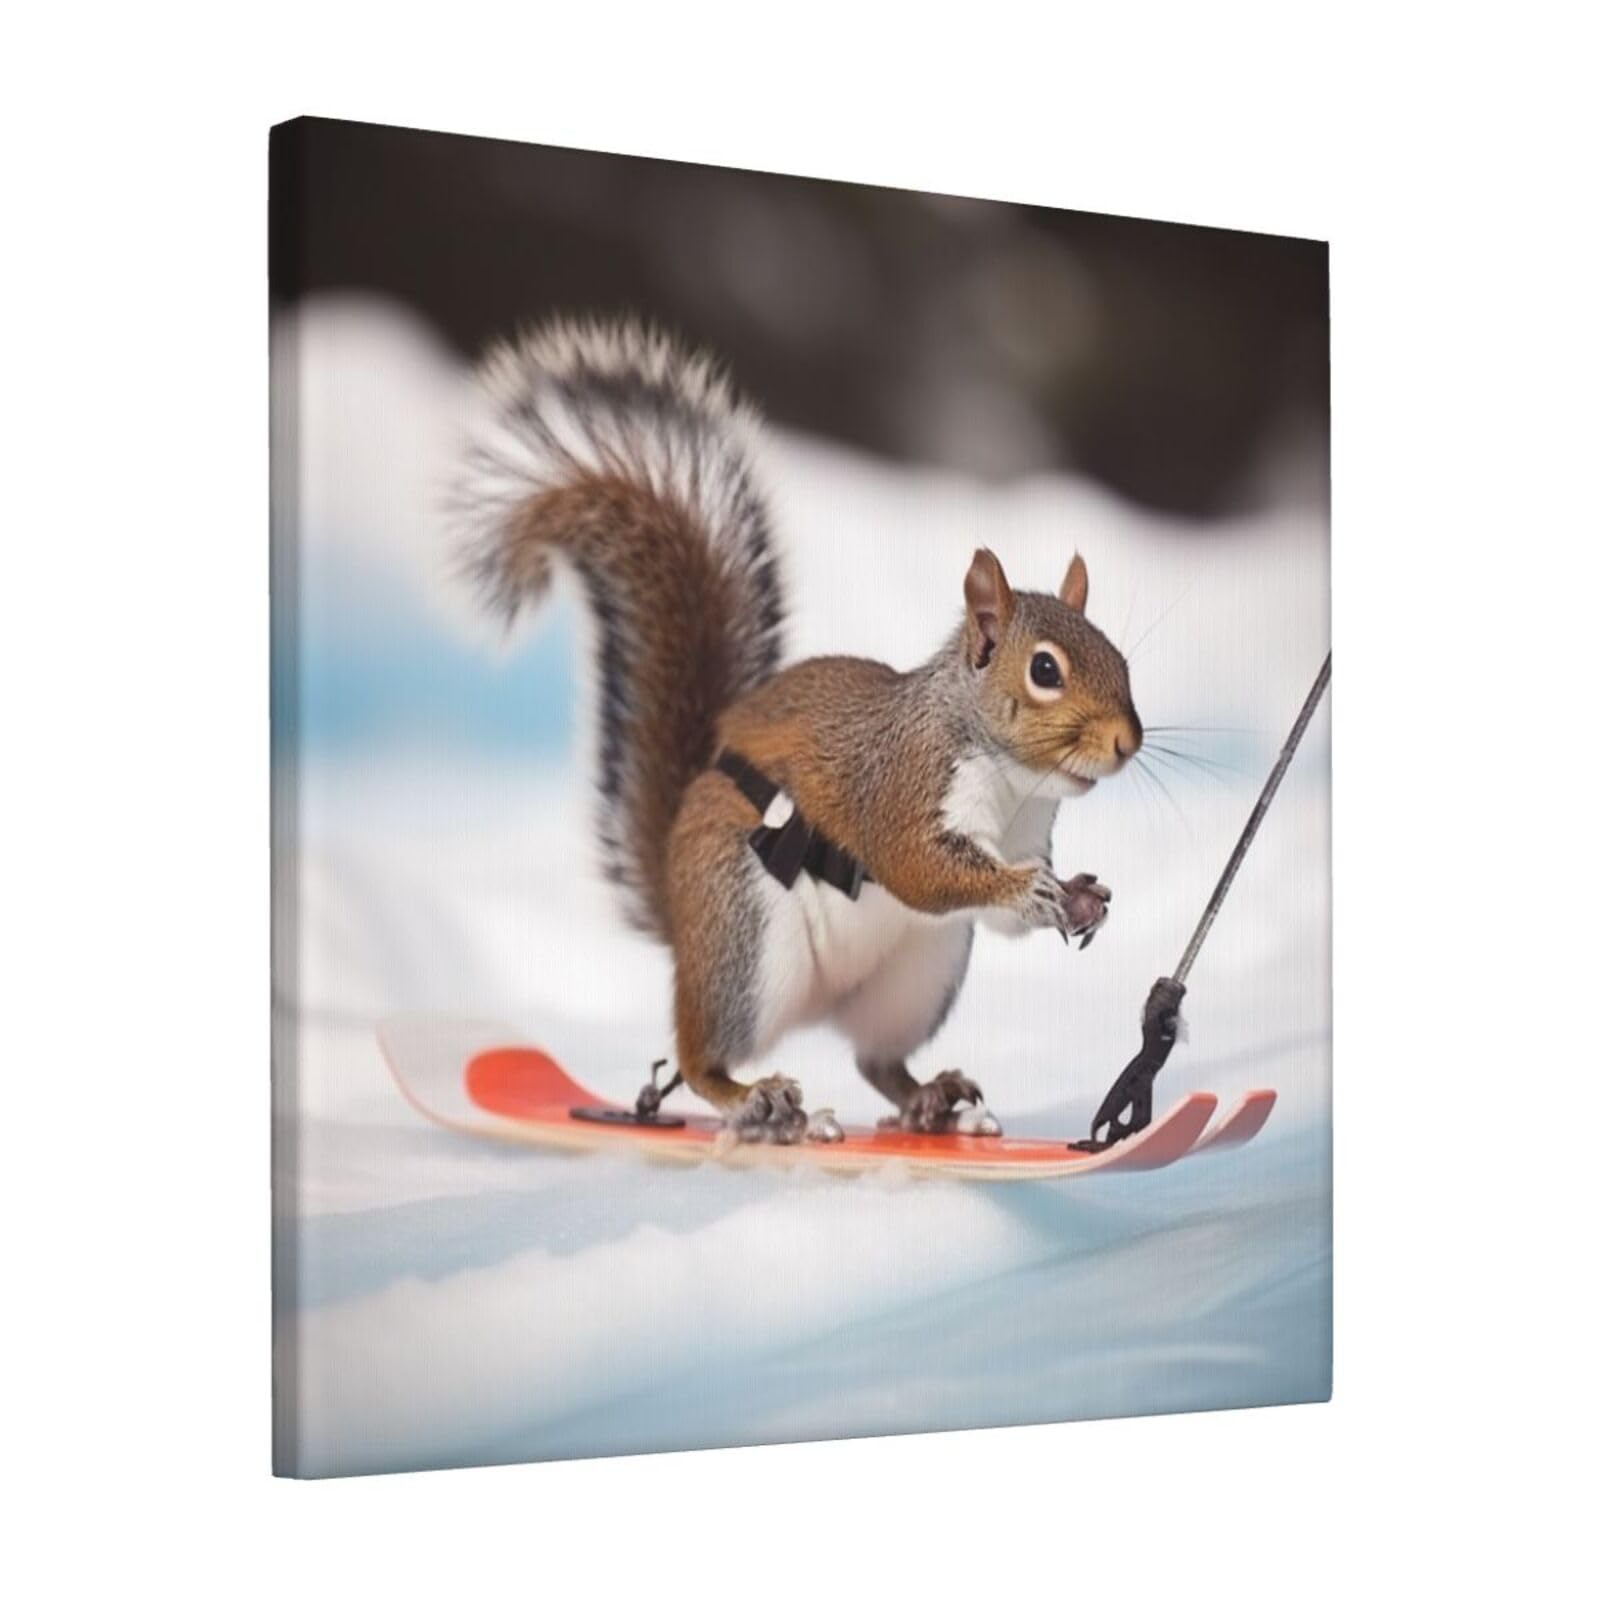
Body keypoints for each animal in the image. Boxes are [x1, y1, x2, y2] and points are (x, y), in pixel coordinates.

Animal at [454, 319, 1143, 1142]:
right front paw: (1028, 889)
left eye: (1121, 657)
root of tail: (681, 916)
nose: (1127, 742)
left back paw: (930, 1100)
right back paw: (758, 1100)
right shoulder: (902, 784)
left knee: (877, 1062)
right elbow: (917, 866)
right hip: (749, 944)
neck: (1013, 784)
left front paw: (1080, 896)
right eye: (1045, 670)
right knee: (697, 1058)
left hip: (918, 975)